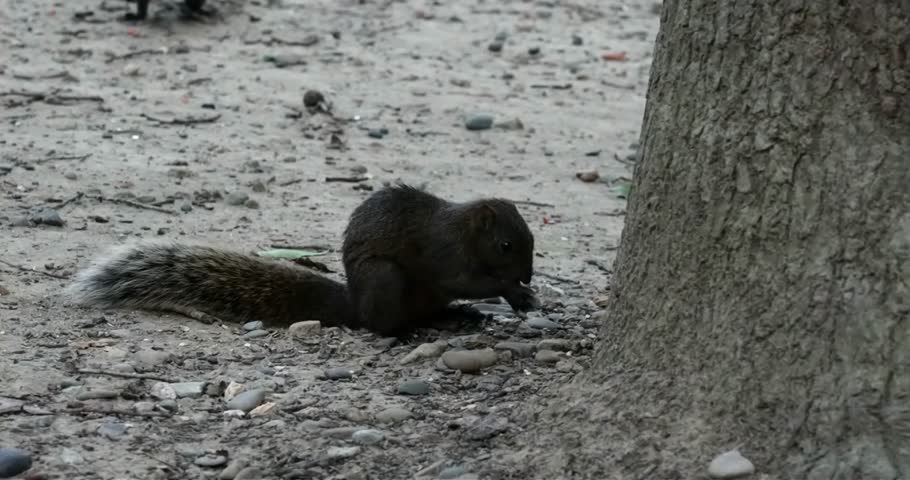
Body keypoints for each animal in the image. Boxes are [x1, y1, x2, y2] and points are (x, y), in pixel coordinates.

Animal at [64, 184, 540, 337]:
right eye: (506, 246)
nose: (528, 273)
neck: (464, 229)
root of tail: (354, 304)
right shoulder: (444, 252)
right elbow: (465, 280)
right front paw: (514, 291)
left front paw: (520, 295)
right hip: (385, 280)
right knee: (384, 324)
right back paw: (416, 329)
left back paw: (459, 317)